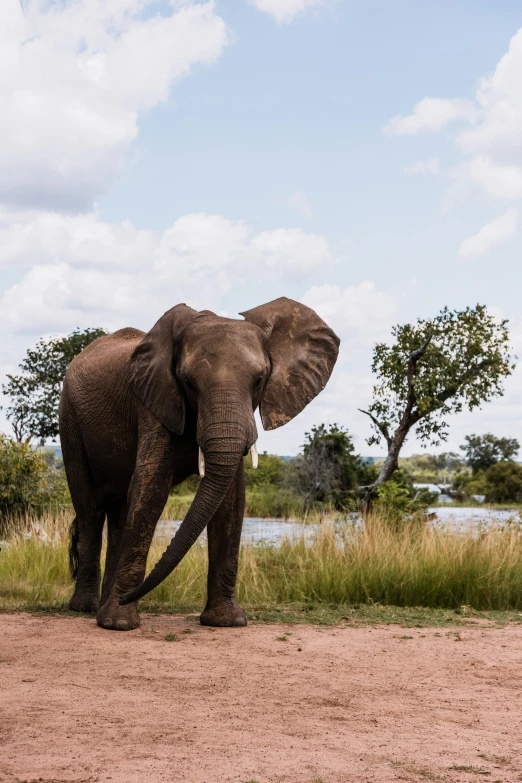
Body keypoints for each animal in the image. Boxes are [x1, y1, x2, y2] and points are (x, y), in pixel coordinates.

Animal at [60, 298, 338, 632]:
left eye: (259, 380)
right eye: (188, 382)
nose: (128, 597)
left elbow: (231, 499)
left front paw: (226, 622)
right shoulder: (154, 400)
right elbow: (151, 487)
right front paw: (118, 623)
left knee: (119, 511)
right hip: (69, 417)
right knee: (90, 508)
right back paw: (87, 608)